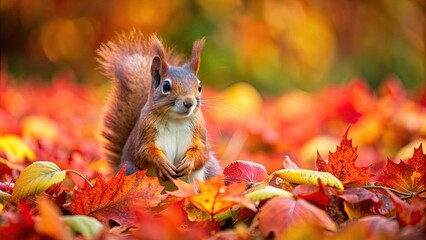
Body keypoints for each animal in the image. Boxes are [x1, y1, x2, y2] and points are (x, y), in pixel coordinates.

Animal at [97, 29, 221, 184]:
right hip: (130, 172)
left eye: (199, 87)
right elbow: (144, 153)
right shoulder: (145, 133)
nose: (189, 102)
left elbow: (202, 154)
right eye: (166, 85)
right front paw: (162, 164)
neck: (176, 120)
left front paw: (188, 163)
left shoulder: (199, 133)